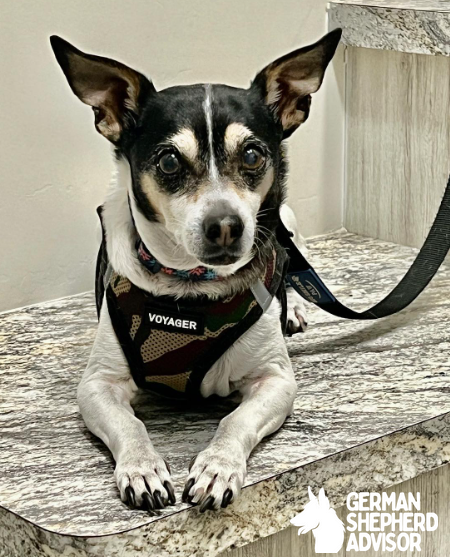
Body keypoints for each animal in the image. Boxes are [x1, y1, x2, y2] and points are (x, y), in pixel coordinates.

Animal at [50, 28, 342, 510]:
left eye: (253, 156)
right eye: (169, 161)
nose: (225, 225)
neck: (192, 287)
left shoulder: (276, 381)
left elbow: (234, 422)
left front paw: (218, 466)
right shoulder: (97, 385)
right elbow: (131, 425)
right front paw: (143, 468)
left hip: (289, 225)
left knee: (293, 265)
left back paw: (296, 309)